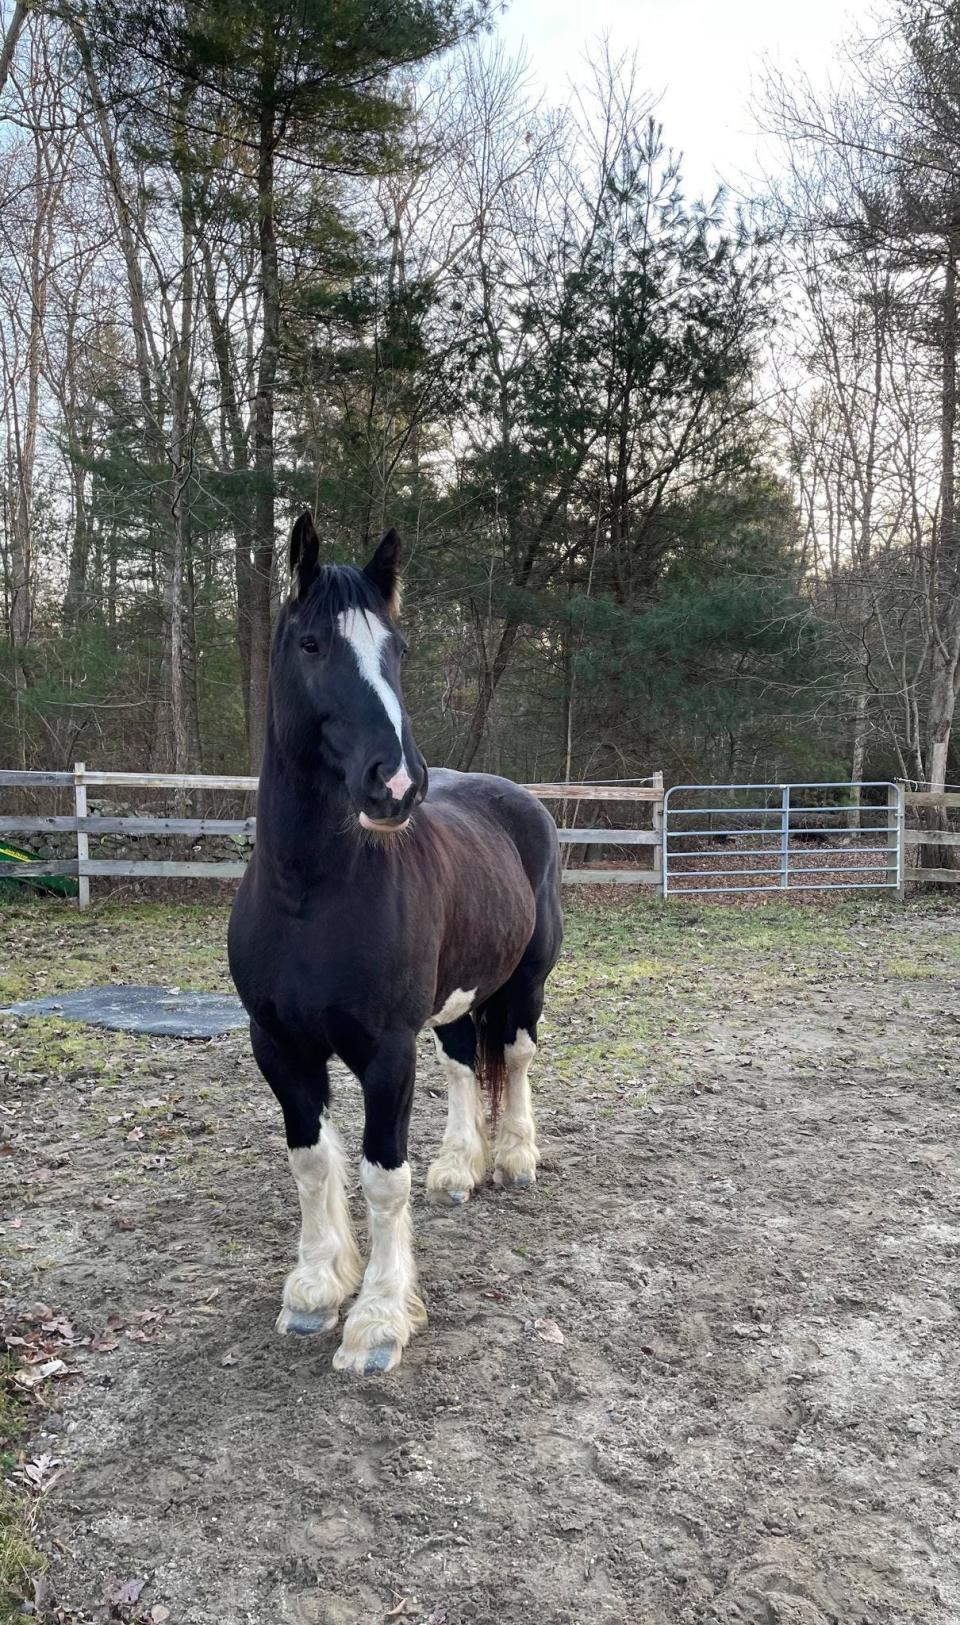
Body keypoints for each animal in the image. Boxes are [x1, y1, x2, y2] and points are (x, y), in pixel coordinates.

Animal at [227, 516, 562, 1371]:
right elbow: (311, 1159)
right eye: (312, 643)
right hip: (457, 997)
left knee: (514, 1056)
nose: (398, 784)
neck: (310, 897)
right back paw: (459, 1168)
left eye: (398, 647)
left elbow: (382, 1176)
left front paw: (378, 1320)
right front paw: (315, 1288)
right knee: (462, 1061)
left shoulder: (383, 1051)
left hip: (528, 981)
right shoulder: (277, 1044)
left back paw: (514, 1158)